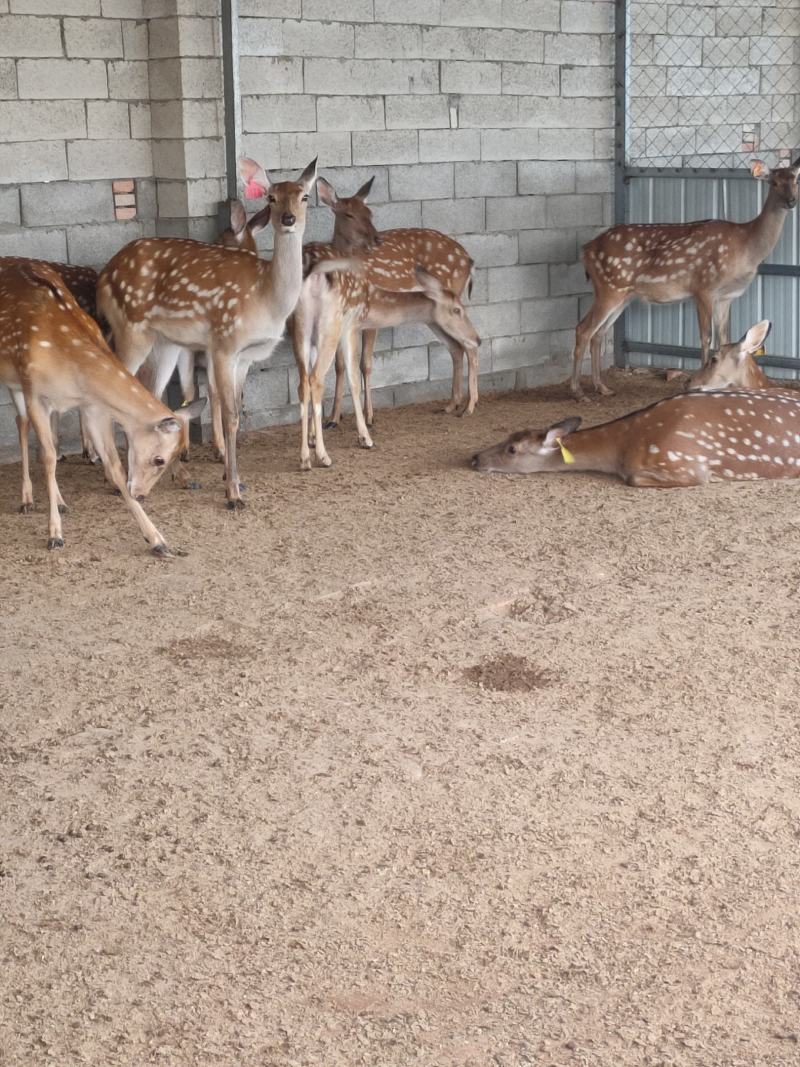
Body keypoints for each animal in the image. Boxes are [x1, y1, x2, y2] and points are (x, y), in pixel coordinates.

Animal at [0, 261, 204, 553]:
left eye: (180, 454)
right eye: (160, 459)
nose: (141, 493)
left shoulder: (91, 406)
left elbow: (114, 464)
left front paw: (157, 540)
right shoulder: (35, 394)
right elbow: (48, 457)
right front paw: (54, 534)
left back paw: (59, 501)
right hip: (15, 380)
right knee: (22, 423)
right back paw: (27, 499)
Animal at [97, 155, 317, 509]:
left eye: (304, 196)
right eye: (271, 197)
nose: (288, 219)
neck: (266, 297)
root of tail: (103, 278)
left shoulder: (246, 358)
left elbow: (235, 412)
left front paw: (235, 482)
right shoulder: (224, 343)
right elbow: (228, 415)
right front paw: (232, 493)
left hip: (164, 343)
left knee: (151, 399)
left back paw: (181, 477)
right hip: (131, 329)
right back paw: (114, 480)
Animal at [292, 250, 480, 471]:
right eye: (457, 310)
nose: (478, 338)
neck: (373, 304)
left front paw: (313, 437)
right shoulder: (351, 326)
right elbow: (353, 379)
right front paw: (364, 438)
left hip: (301, 328)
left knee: (303, 382)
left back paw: (305, 458)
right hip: (329, 325)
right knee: (315, 378)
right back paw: (322, 457)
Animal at [313, 176, 477, 426]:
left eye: (370, 212)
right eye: (348, 214)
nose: (376, 239)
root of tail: (469, 260)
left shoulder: (369, 317)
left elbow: (364, 363)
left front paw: (369, 416)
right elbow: (340, 365)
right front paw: (333, 418)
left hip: (452, 297)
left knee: (469, 344)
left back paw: (469, 406)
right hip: (434, 312)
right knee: (456, 347)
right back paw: (451, 404)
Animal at [572, 157, 800, 401]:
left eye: (796, 180)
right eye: (773, 182)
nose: (791, 201)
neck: (746, 246)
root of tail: (585, 250)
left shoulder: (726, 297)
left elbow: (724, 339)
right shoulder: (704, 287)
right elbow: (706, 338)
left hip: (623, 294)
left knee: (599, 333)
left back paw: (602, 387)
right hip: (609, 287)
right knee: (583, 329)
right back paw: (578, 392)